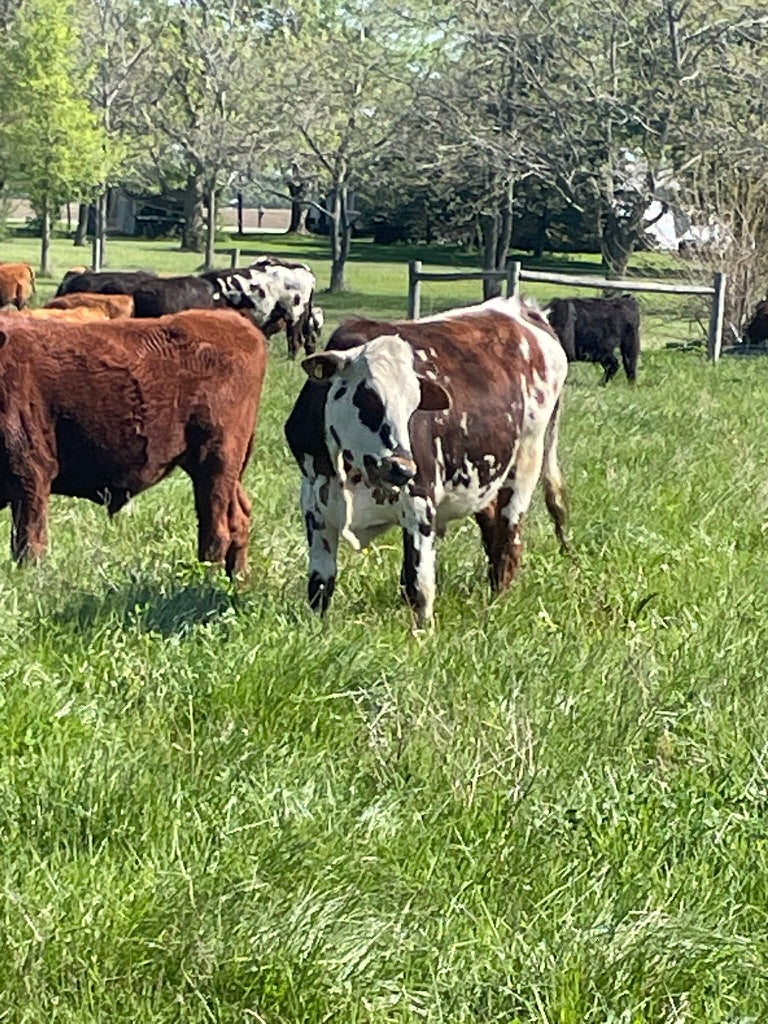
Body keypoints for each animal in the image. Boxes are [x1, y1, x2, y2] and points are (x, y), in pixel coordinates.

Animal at [0, 309, 268, 576]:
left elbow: (28, 543)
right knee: (239, 519)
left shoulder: (31, 474)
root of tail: (235, 321)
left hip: (216, 461)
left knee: (218, 529)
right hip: (218, 468)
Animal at [284, 296, 569, 627]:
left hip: (526, 460)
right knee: (493, 531)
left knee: (509, 540)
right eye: (369, 397)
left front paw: (422, 634)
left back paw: (497, 603)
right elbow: (320, 584)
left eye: (415, 403)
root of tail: (522, 307)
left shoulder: (420, 504)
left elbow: (417, 586)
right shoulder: (315, 503)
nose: (403, 468)